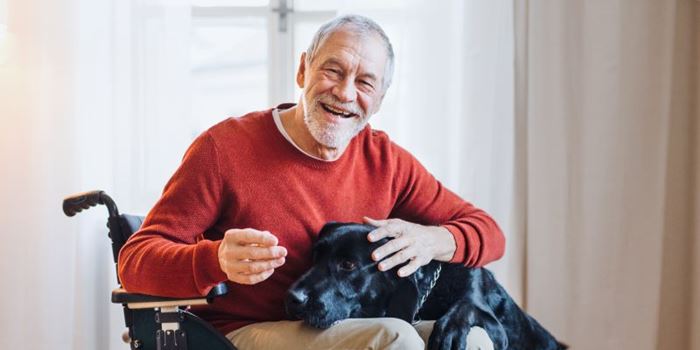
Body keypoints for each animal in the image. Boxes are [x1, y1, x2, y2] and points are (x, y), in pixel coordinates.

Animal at [286, 223, 568, 350]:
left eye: (348, 264)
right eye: (315, 257)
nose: (293, 297)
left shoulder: (497, 330)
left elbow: (465, 307)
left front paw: (449, 333)